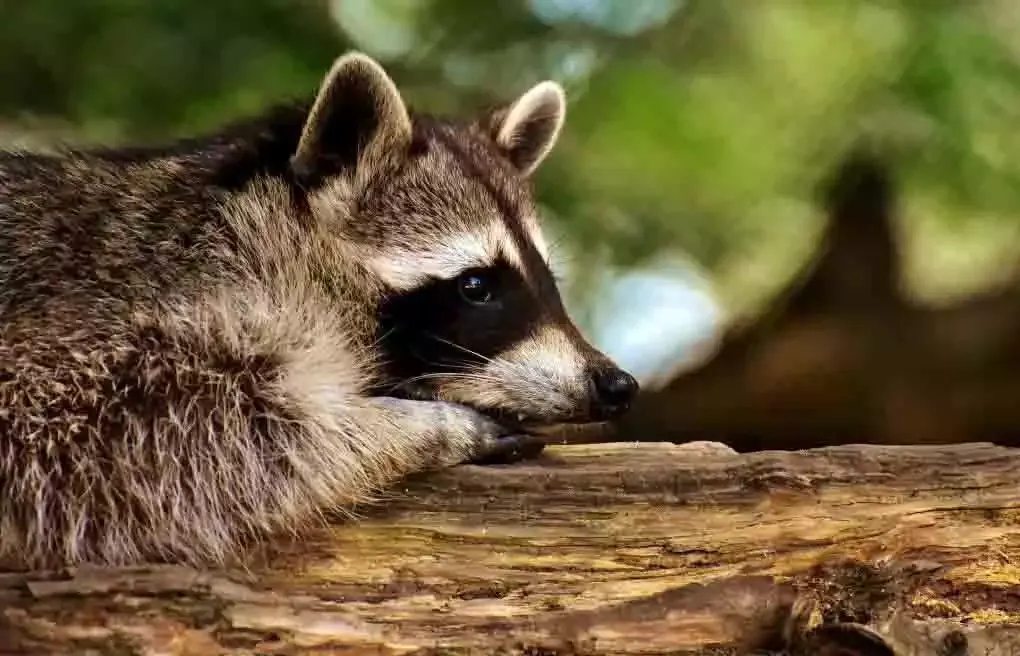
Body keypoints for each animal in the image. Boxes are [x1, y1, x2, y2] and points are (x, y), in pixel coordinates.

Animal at [0, 52, 638, 569]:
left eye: (547, 280)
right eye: (477, 286)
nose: (617, 384)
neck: (254, 239)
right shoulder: (103, 317)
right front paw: (407, 429)